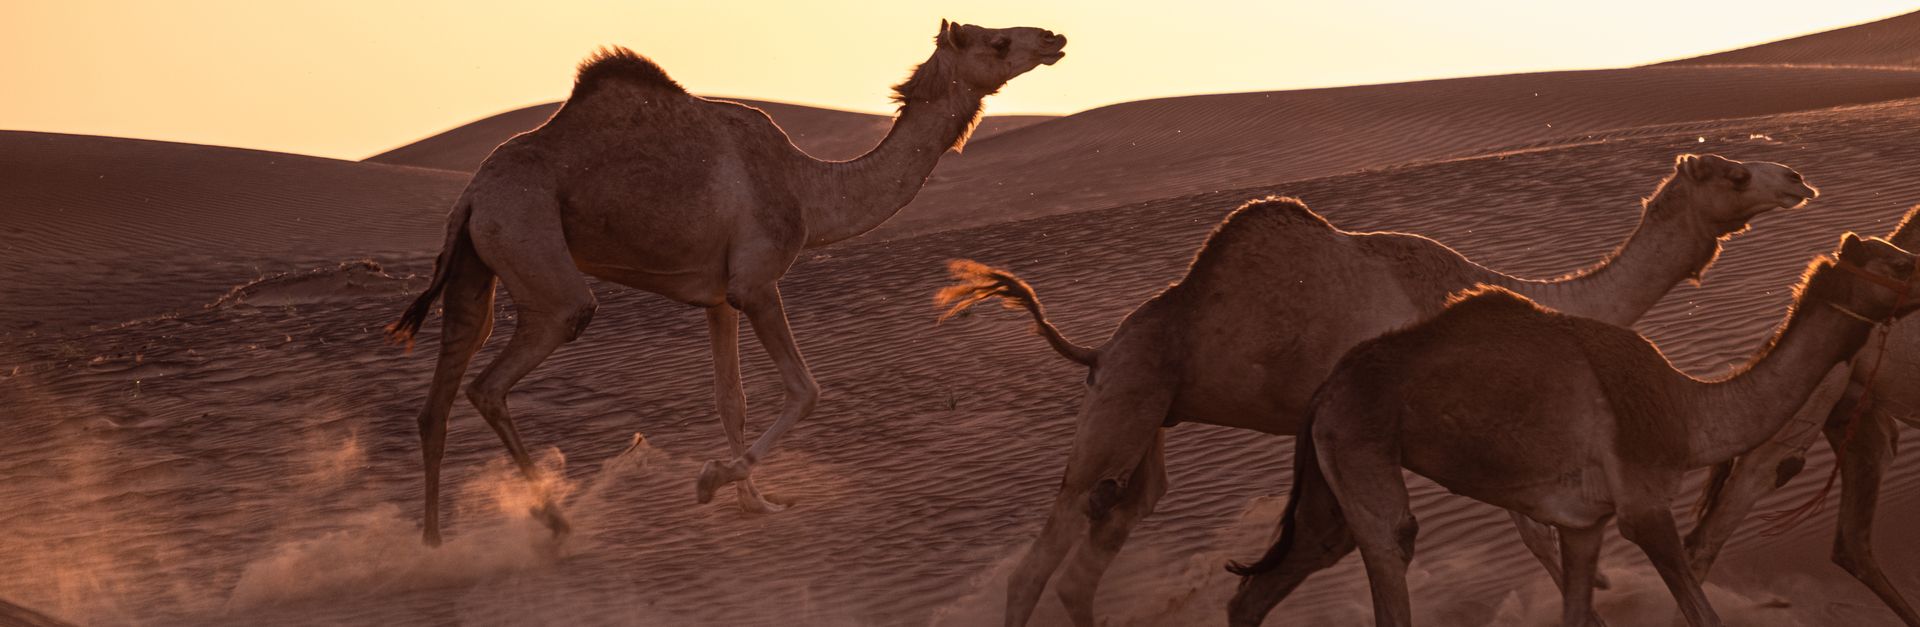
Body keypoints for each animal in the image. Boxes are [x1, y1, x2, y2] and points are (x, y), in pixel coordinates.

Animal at [384, 20, 1065, 546]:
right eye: (998, 41)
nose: (1054, 37)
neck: (810, 190)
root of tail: (473, 193)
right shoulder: (756, 284)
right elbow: (805, 390)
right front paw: (714, 480)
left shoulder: (716, 297)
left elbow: (730, 399)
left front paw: (753, 502)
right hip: (535, 247)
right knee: (498, 376)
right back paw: (555, 523)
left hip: (477, 264)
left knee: (443, 387)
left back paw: (432, 542)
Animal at [936, 154, 1818, 627]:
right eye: (1733, 172)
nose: (1797, 177)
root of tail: (1098, 346)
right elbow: (1532, 526)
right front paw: (1600, 591)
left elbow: (1541, 524)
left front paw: (1597, 589)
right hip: (1123, 398)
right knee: (1044, 548)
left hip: (1149, 423)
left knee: (1105, 535)